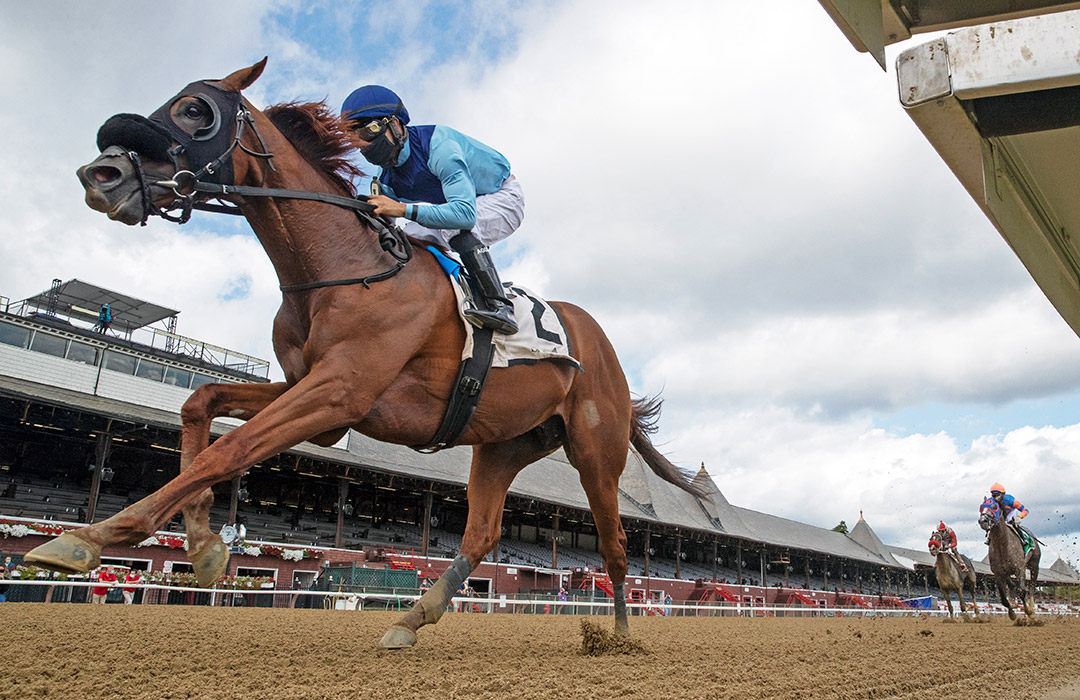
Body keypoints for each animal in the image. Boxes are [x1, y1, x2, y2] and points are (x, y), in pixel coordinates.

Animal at [25, 58, 706, 648]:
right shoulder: (313, 390)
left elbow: (232, 448)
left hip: (596, 453)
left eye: (195, 110)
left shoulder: (340, 393)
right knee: (481, 533)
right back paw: (410, 618)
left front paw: (91, 537)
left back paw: (618, 636)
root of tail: (601, 343)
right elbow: (201, 402)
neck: (341, 266)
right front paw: (202, 544)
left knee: (615, 545)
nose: (101, 175)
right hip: (503, 442)